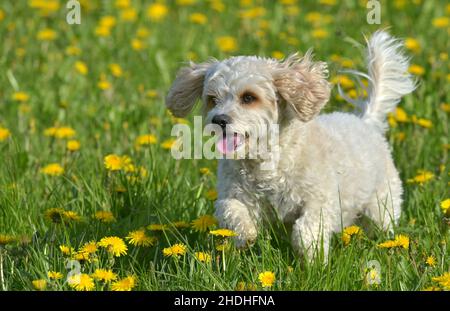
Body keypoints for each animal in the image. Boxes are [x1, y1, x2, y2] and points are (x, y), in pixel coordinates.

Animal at [165, 31, 414, 260]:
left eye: (248, 97)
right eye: (212, 99)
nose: (219, 120)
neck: (267, 163)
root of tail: (366, 121)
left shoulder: (321, 200)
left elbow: (307, 229)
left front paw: (313, 257)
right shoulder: (233, 194)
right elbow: (231, 210)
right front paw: (246, 235)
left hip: (383, 204)